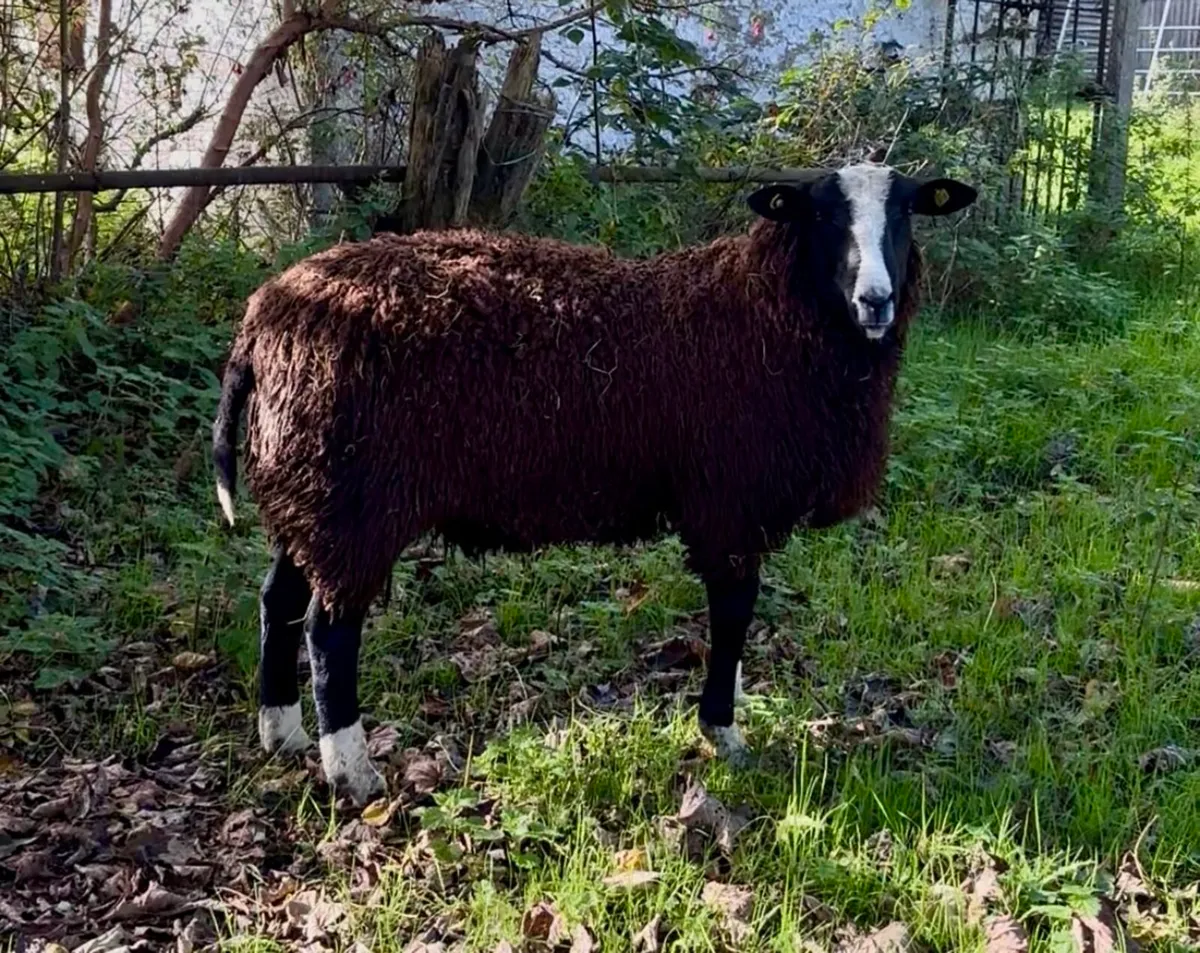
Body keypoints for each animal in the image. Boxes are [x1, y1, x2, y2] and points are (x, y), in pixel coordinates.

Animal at [213, 160, 977, 806]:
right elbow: (734, 613)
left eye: (907, 211)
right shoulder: (727, 501)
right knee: (328, 630)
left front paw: (726, 710)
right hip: (353, 501)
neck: (766, 312)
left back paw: (281, 732)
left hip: (308, 491)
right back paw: (353, 771)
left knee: (278, 600)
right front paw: (723, 732)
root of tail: (263, 319)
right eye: (821, 214)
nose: (875, 300)